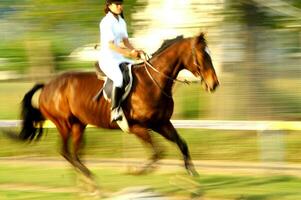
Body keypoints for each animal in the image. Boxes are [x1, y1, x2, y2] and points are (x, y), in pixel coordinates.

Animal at [17, 32, 218, 179]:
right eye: (202, 55)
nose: (214, 84)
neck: (153, 82)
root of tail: (47, 86)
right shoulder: (138, 126)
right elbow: (158, 152)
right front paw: (137, 171)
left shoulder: (161, 123)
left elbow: (181, 144)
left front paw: (192, 171)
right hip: (64, 123)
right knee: (65, 152)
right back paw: (88, 176)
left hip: (78, 125)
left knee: (74, 153)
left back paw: (84, 176)